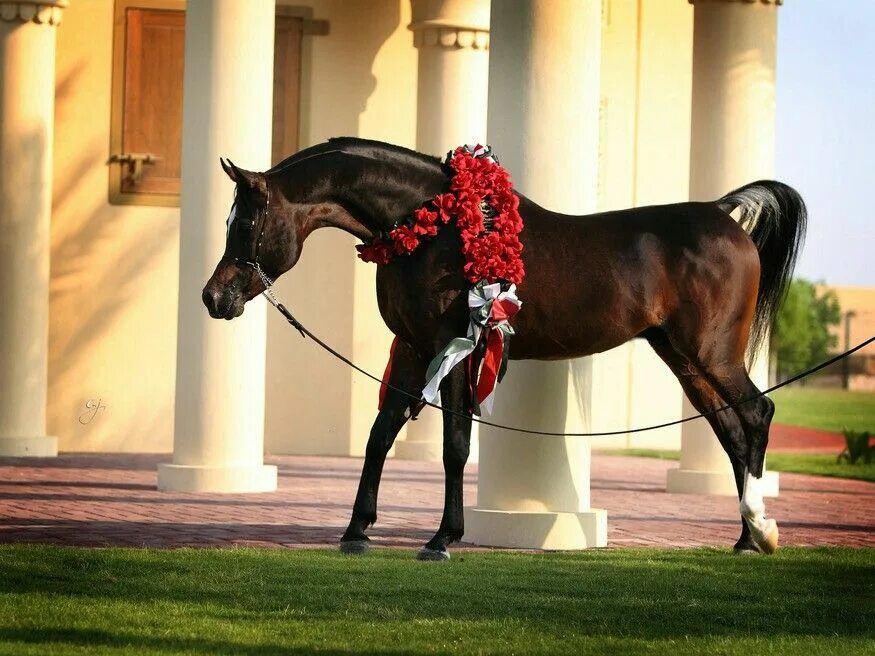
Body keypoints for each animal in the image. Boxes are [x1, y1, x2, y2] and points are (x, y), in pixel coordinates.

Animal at [204, 137, 808, 560]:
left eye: (248, 224)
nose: (214, 297)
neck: (435, 230)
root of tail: (723, 215)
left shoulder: (454, 349)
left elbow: (454, 445)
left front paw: (442, 539)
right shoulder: (412, 349)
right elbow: (381, 434)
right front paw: (356, 530)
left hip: (711, 355)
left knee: (757, 414)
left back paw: (760, 530)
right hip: (684, 359)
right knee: (733, 433)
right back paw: (746, 538)